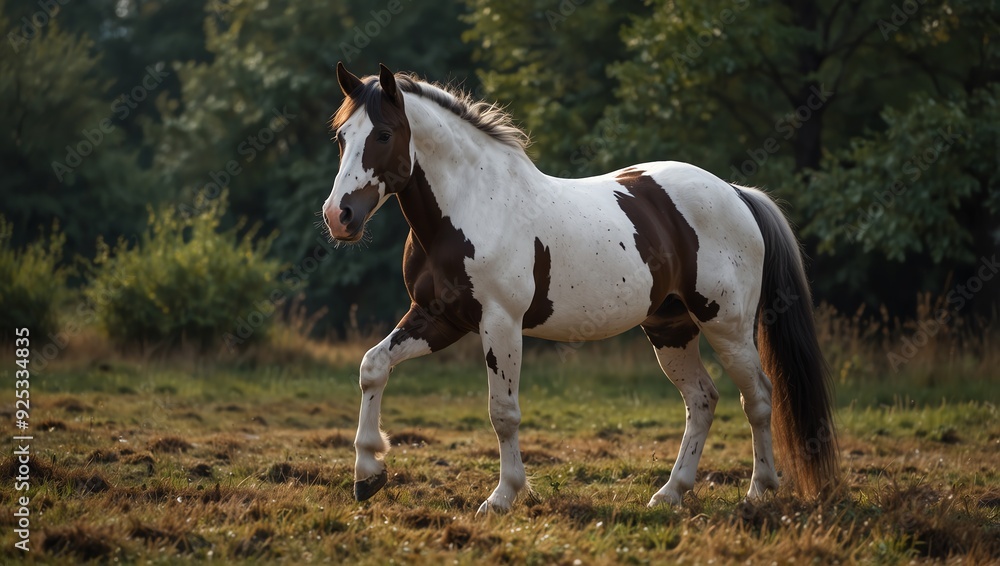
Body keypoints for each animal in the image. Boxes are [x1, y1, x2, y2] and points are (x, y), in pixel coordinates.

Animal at [326, 62, 836, 516]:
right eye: (342, 137)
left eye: (384, 135)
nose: (339, 216)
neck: (473, 206)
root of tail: (736, 193)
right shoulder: (438, 318)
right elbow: (373, 366)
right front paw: (367, 473)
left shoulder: (500, 323)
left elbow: (502, 412)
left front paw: (503, 496)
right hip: (670, 328)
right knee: (703, 400)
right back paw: (670, 493)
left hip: (726, 325)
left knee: (759, 398)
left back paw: (759, 491)